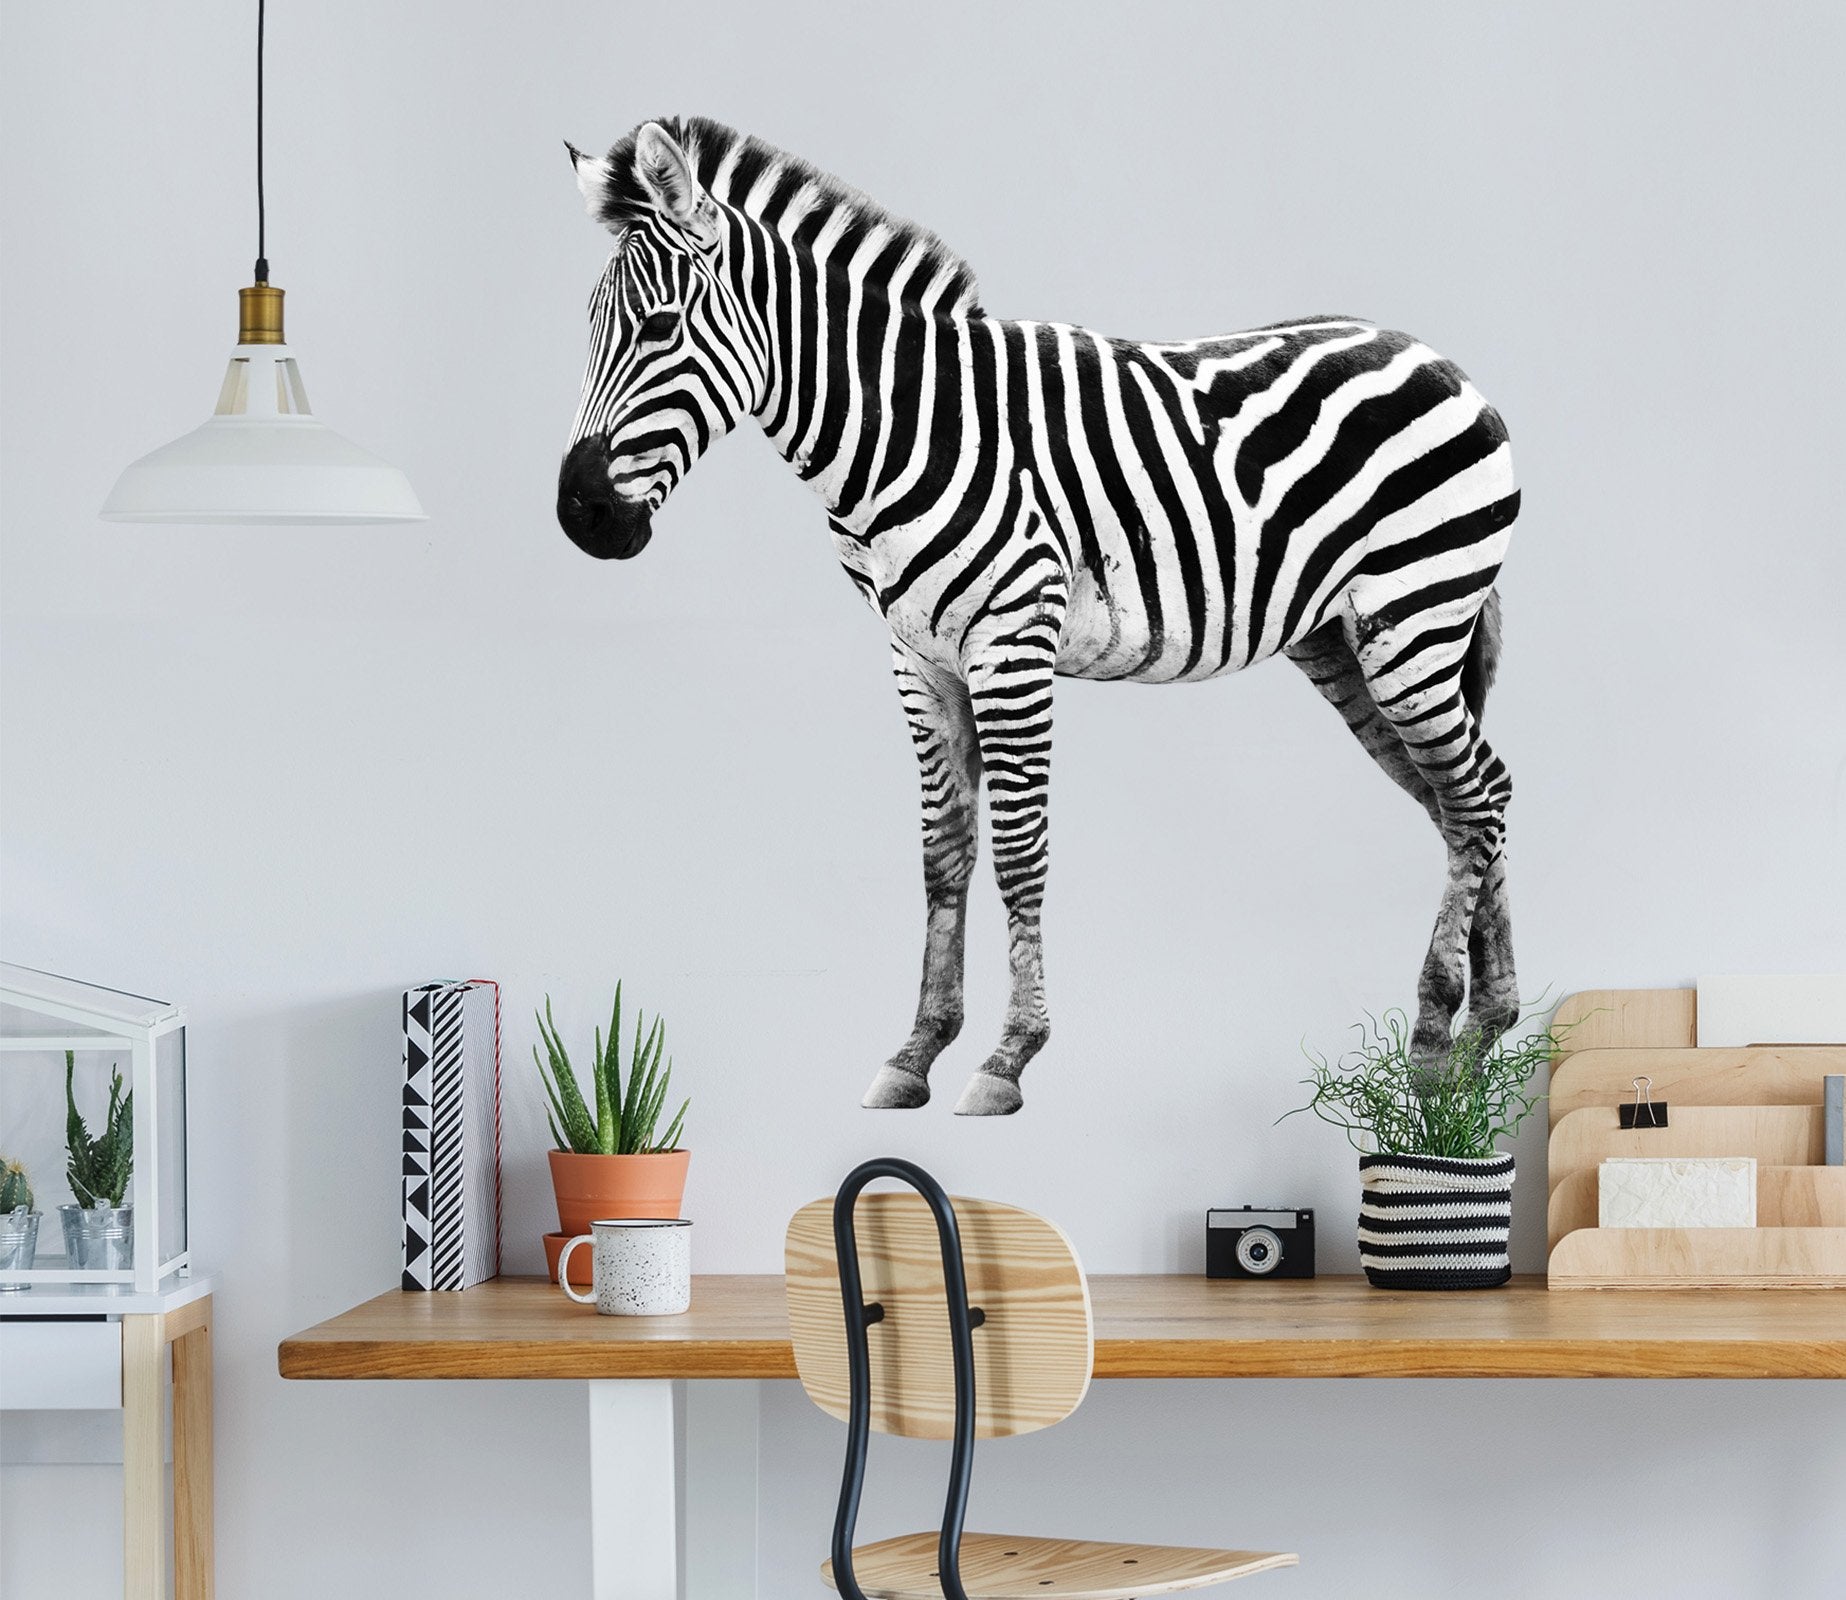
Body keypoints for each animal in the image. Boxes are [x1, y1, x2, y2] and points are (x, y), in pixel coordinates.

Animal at [559, 116, 1521, 1116]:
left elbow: (1020, 851)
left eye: (659, 327)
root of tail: (1437, 357)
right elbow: (944, 851)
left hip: (1413, 619)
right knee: (1468, 796)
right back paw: (1481, 1035)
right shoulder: (916, 657)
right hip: (1345, 645)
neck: (905, 428)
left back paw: (1433, 1037)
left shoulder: (1011, 642)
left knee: (1475, 797)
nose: (580, 516)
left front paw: (1008, 1055)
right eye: (588, 327)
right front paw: (918, 1049)